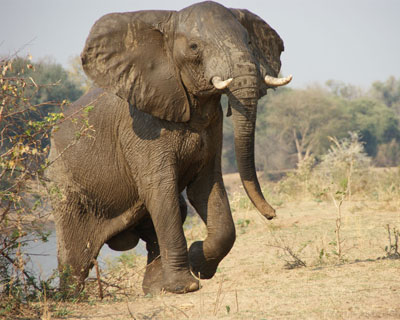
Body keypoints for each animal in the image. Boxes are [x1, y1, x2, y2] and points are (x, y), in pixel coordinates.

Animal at [47, 0, 292, 296]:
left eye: (249, 41)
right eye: (194, 47)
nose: (272, 214)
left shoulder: (213, 124)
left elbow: (206, 187)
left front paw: (198, 262)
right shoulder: (141, 128)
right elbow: (160, 190)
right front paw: (187, 286)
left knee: (170, 215)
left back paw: (155, 288)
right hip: (64, 184)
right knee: (76, 254)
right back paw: (71, 296)